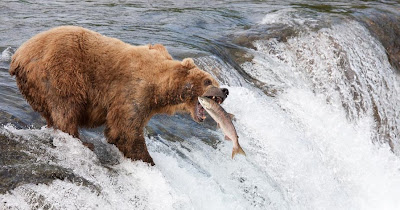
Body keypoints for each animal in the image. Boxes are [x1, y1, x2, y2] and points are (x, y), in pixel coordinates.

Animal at [8, 25, 228, 166]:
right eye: (208, 81)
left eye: (215, 80)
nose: (225, 91)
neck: (160, 88)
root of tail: (17, 56)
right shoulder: (132, 90)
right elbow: (125, 129)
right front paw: (147, 159)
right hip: (59, 72)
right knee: (65, 107)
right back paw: (81, 141)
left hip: (35, 86)